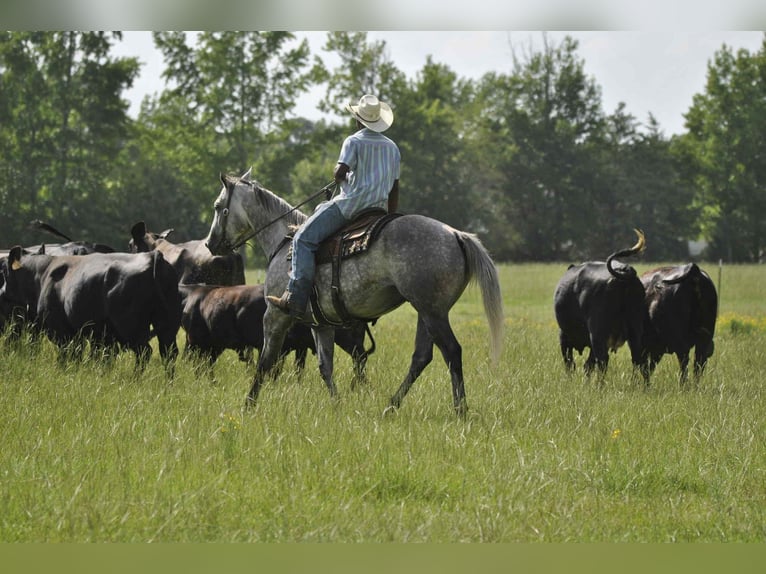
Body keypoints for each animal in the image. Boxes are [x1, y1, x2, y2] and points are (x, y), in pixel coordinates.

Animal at [205, 169, 504, 416]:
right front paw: (337, 405)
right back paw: (391, 406)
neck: (284, 242)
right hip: (427, 312)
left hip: (432, 312)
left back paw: (460, 410)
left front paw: (248, 405)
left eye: (219, 207)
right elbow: (325, 366)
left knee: (451, 352)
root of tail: (455, 234)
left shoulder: (275, 314)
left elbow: (265, 361)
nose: (210, 244)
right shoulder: (320, 324)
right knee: (422, 357)